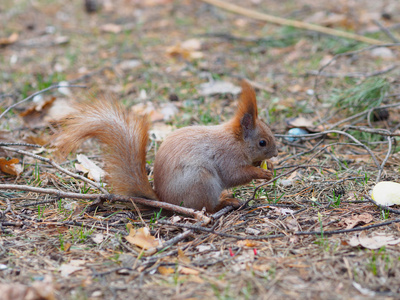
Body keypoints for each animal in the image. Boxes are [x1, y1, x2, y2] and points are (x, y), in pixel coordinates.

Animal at [55, 78, 278, 212]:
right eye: (262, 142)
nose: (276, 153)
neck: (237, 141)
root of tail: (164, 199)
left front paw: (266, 166)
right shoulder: (227, 156)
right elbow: (235, 175)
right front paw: (261, 173)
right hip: (202, 182)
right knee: (205, 208)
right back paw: (226, 202)